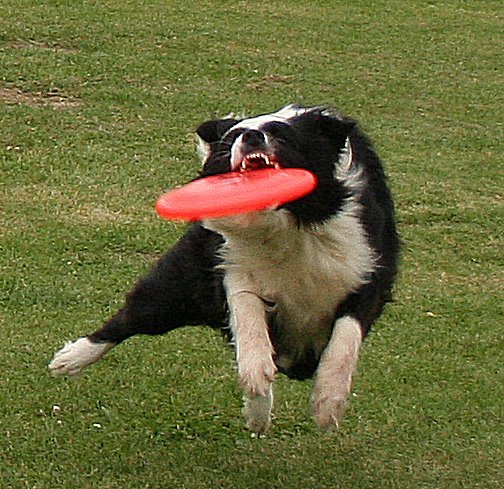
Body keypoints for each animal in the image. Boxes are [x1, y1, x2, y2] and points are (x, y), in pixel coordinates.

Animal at [49, 105, 400, 432]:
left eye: (282, 136)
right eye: (234, 138)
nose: (252, 136)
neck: (285, 224)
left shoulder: (367, 268)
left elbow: (345, 340)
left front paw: (328, 402)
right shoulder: (229, 261)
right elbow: (246, 314)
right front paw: (255, 372)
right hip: (176, 290)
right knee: (129, 318)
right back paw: (69, 359)